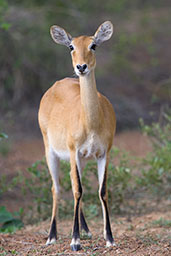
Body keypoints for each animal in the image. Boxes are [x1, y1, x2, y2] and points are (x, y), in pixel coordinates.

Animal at [38, 21, 116, 251]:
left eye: (93, 45)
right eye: (71, 46)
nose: (81, 67)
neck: (90, 123)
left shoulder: (103, 153)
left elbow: (101, 190)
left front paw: (109, 238)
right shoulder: (73, 152)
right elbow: (77, 190)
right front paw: (74, 241)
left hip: (80, 159)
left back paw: (87, 231)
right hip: (51, 152)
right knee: (57, 188)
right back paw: (52, 236)